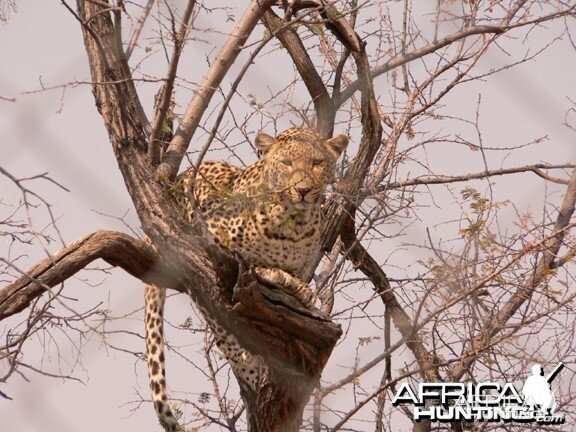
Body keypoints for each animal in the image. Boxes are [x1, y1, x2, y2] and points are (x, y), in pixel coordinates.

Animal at [146, 126, 348, 430]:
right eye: (286, 163)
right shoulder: (207, 238)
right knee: (218, 320)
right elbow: (252, 267)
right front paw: (274, 274)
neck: (295, 223)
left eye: (317, 163)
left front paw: (301, 289)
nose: (302, 190)